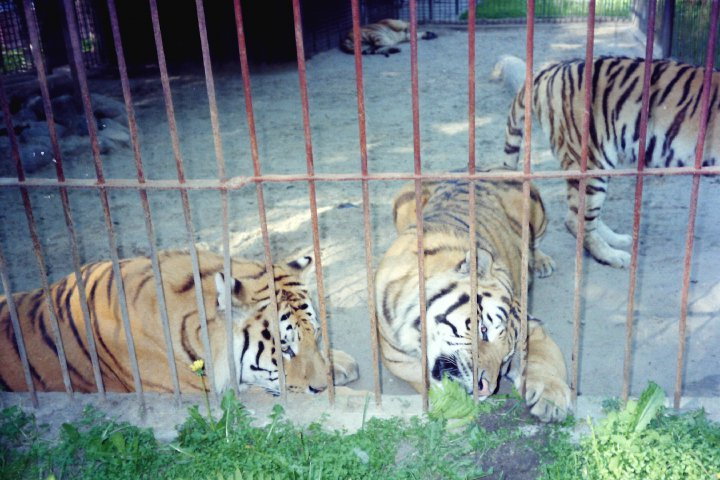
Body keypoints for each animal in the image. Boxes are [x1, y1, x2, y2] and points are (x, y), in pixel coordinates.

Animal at [374, 175, 572, 420]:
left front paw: (551, 400)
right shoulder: (399, 361)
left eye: (506, 357)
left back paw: (541, 262)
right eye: (483, 330)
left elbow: (545, 359)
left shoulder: (534, 329)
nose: (486, 388)